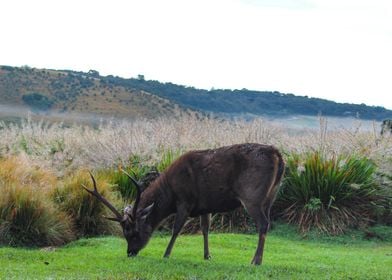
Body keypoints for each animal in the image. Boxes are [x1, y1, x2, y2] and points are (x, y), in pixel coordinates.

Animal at [83, 143, 284, 266]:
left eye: (134, 232)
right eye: (124, 234)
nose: (130, 252)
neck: (169, 194)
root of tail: (278, 156)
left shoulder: (185, 200)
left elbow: (176, 229)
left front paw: (166, 254)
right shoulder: (205, 205)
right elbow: (205, 229)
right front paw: (207, 255)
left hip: (252, 196)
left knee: (263, 224)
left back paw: (256, 261)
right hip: (271, 196)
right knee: (266, 222)